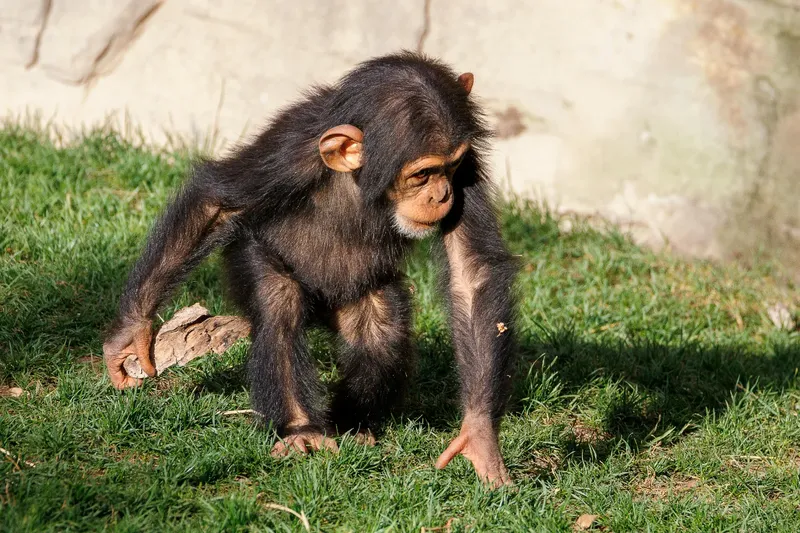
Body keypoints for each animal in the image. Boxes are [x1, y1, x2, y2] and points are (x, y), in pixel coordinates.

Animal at [102, 52, 517, 486]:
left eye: (451, 168)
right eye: (423, 174)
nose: (443, 194)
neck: (359, 176)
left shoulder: (470, 167)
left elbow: (471, 270)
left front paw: (479, 434)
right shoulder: (288, 153)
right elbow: (216, 204)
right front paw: (130, 333)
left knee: (380, 328)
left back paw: (352, 426)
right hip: (251, 259)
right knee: (279, 306)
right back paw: (301, 431)